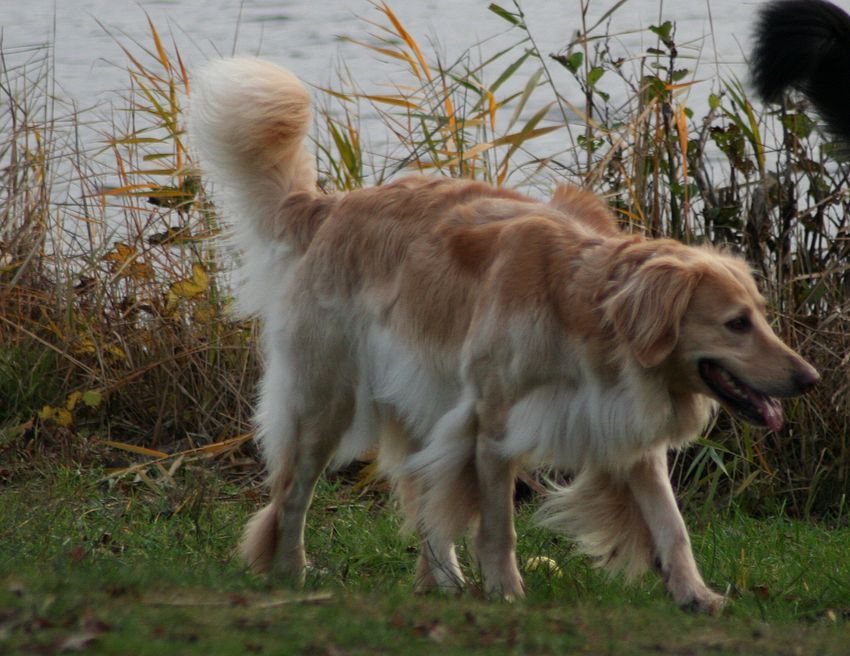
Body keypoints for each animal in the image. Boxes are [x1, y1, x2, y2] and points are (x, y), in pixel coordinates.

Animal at [189, 57, 819, 614]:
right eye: (736, 324)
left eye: (761, 315)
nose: (810, 379)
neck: (585, 315)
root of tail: (331, 206)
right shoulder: (492, 425)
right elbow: (498, 527)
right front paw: (507, 592)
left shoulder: (623, 426)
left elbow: (672, 526)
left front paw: (694, 594)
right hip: (326, 401)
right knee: (292, 494)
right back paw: (289, 572)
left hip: (419, 401)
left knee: (424, 503)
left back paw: (439, 581)